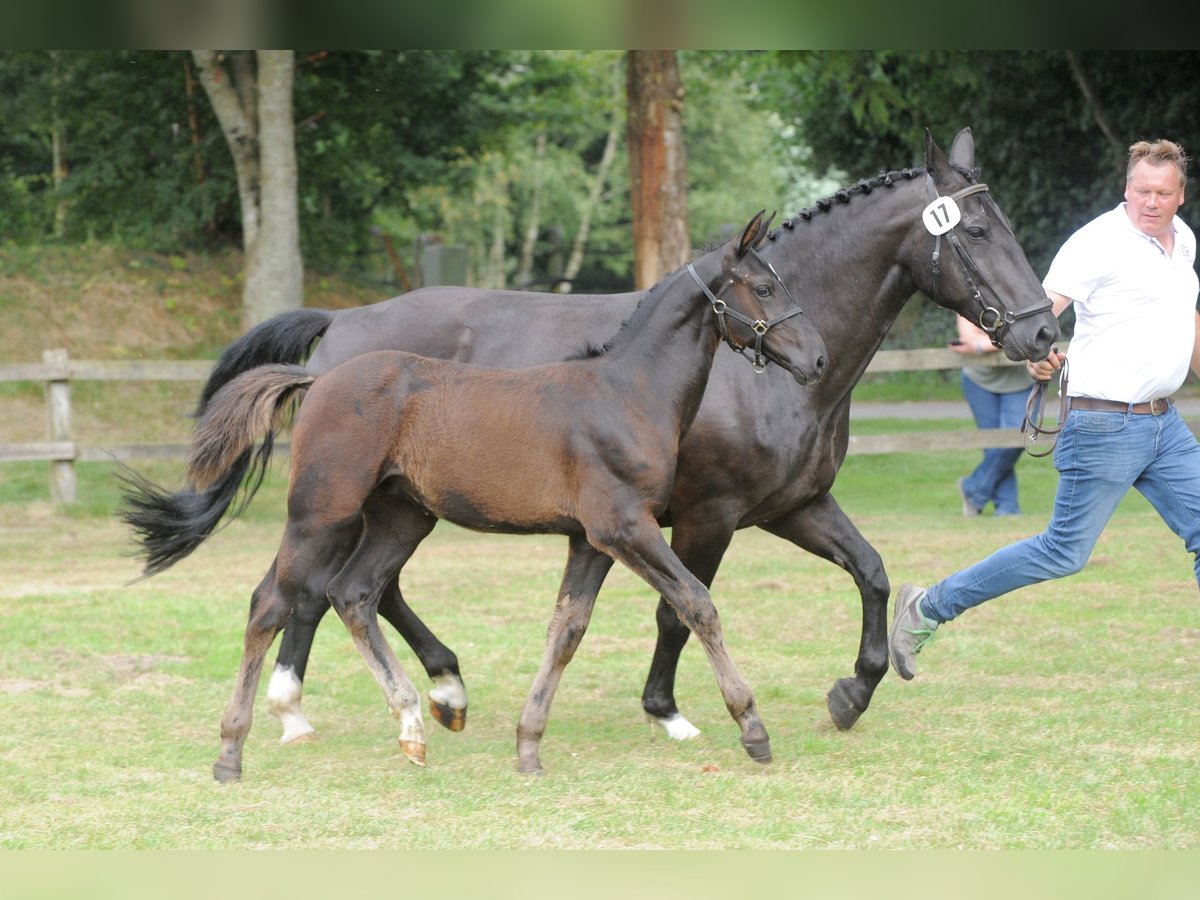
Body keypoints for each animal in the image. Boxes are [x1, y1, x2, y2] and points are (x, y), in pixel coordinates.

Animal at [121, 128, 1056, 753]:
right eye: (976, 233)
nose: (1044, 333)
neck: (760, 374)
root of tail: (340, 329)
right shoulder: (707, 516)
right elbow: (679, 609)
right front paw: (672, 710)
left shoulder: (796, 505)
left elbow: (871, 572)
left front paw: (852, 691)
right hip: (351, 500)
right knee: (321, 588)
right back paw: (304, 705)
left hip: (403, 505)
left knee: (363, 587)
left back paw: (436, 692)